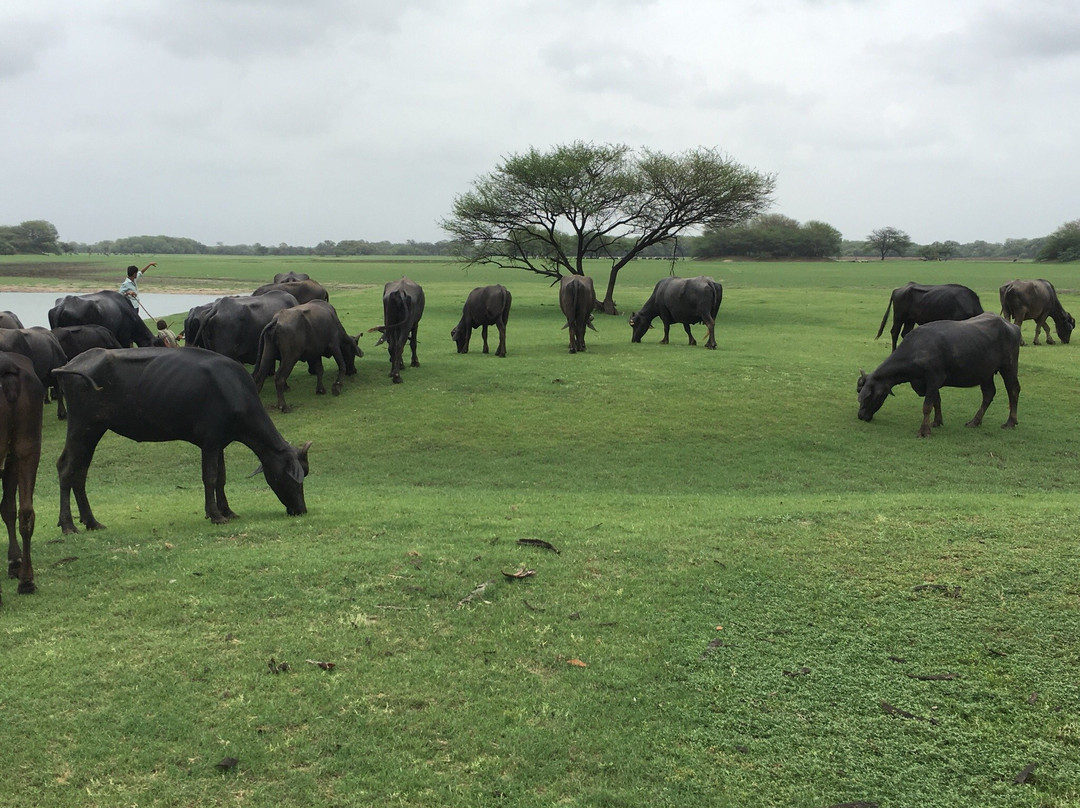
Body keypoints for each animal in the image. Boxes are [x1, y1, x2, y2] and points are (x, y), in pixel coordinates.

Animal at [55, 347, 313, 529]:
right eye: (293, 477)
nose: (301, 509)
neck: (235, 391)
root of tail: (73, 363)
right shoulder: (210, 441)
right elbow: (210, 477)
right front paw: (216, 515)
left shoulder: (220, 442)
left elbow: (221, 478)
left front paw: (226, 510)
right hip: (83, 426)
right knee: (67, 469)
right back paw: (68, 525)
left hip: (92, 430)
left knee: (78, 472)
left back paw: (90, 521)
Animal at [855, 311, 1015, 436]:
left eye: (868, 397)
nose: (861, 415)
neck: (917, 349)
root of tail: (1011, 326)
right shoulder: (929, 382)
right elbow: (936, 401)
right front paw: (937, 422)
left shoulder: (934, 378)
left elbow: (927, 406)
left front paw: (924, 431)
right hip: (985, 373)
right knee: (988, 393)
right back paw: (975, 421)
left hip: (1008, 366)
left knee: (1013, 390)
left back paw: (1010, 422)